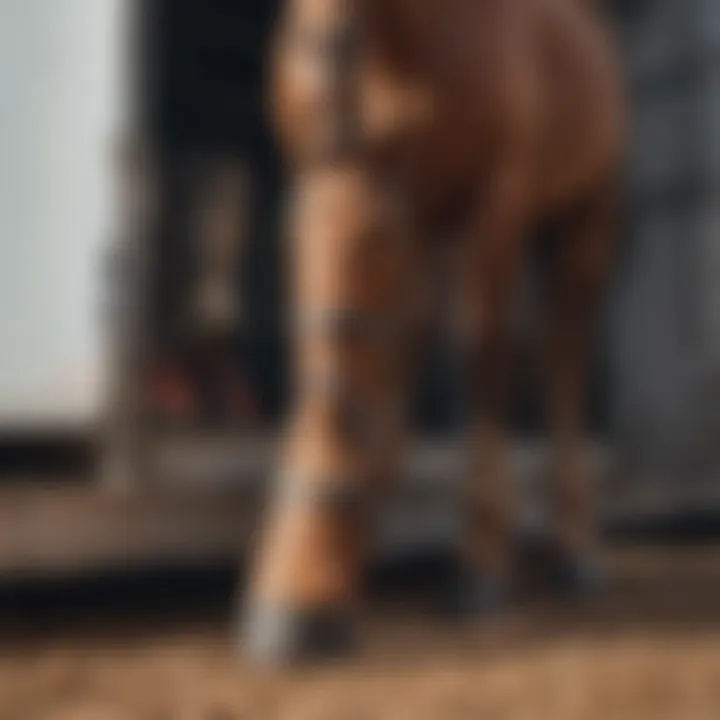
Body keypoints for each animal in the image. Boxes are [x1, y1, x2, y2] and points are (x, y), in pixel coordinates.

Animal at [242, 0, 624, 664]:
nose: (328, 46)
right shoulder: (349, 182)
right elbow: (362, 344)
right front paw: (314, 581)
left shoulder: (494, 203)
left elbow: (482, 359)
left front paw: (480, 572)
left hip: (585, 219)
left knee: (563, 352)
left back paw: (575, 555)